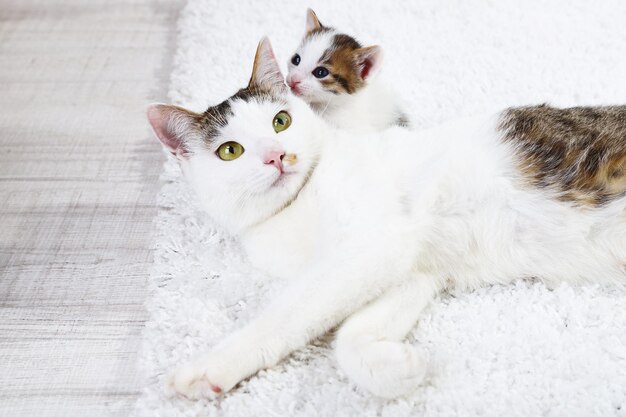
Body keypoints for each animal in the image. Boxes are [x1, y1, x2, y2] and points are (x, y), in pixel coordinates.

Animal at [147, 37, 624, 398]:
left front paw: (210, 367)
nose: (278, 156)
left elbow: (286, 316)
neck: (293, 210)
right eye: (230, 151)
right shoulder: (409, 266)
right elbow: (352, 333)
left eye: (281, 121)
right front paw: (397, 366)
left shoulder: (373, 243)